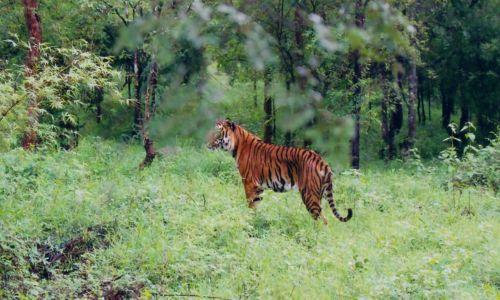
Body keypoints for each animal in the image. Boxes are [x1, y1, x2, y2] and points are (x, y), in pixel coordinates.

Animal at [207, 118, 352, 224]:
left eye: (218, 133)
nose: (207, 144)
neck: (236, 145)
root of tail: (321, 160)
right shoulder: (258, 187)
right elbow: (257, 205)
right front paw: (256, 221)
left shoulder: (249, 182)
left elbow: (251, 205)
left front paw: (249, 221)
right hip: (320, 192)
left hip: (309, 194)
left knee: (321, 219)